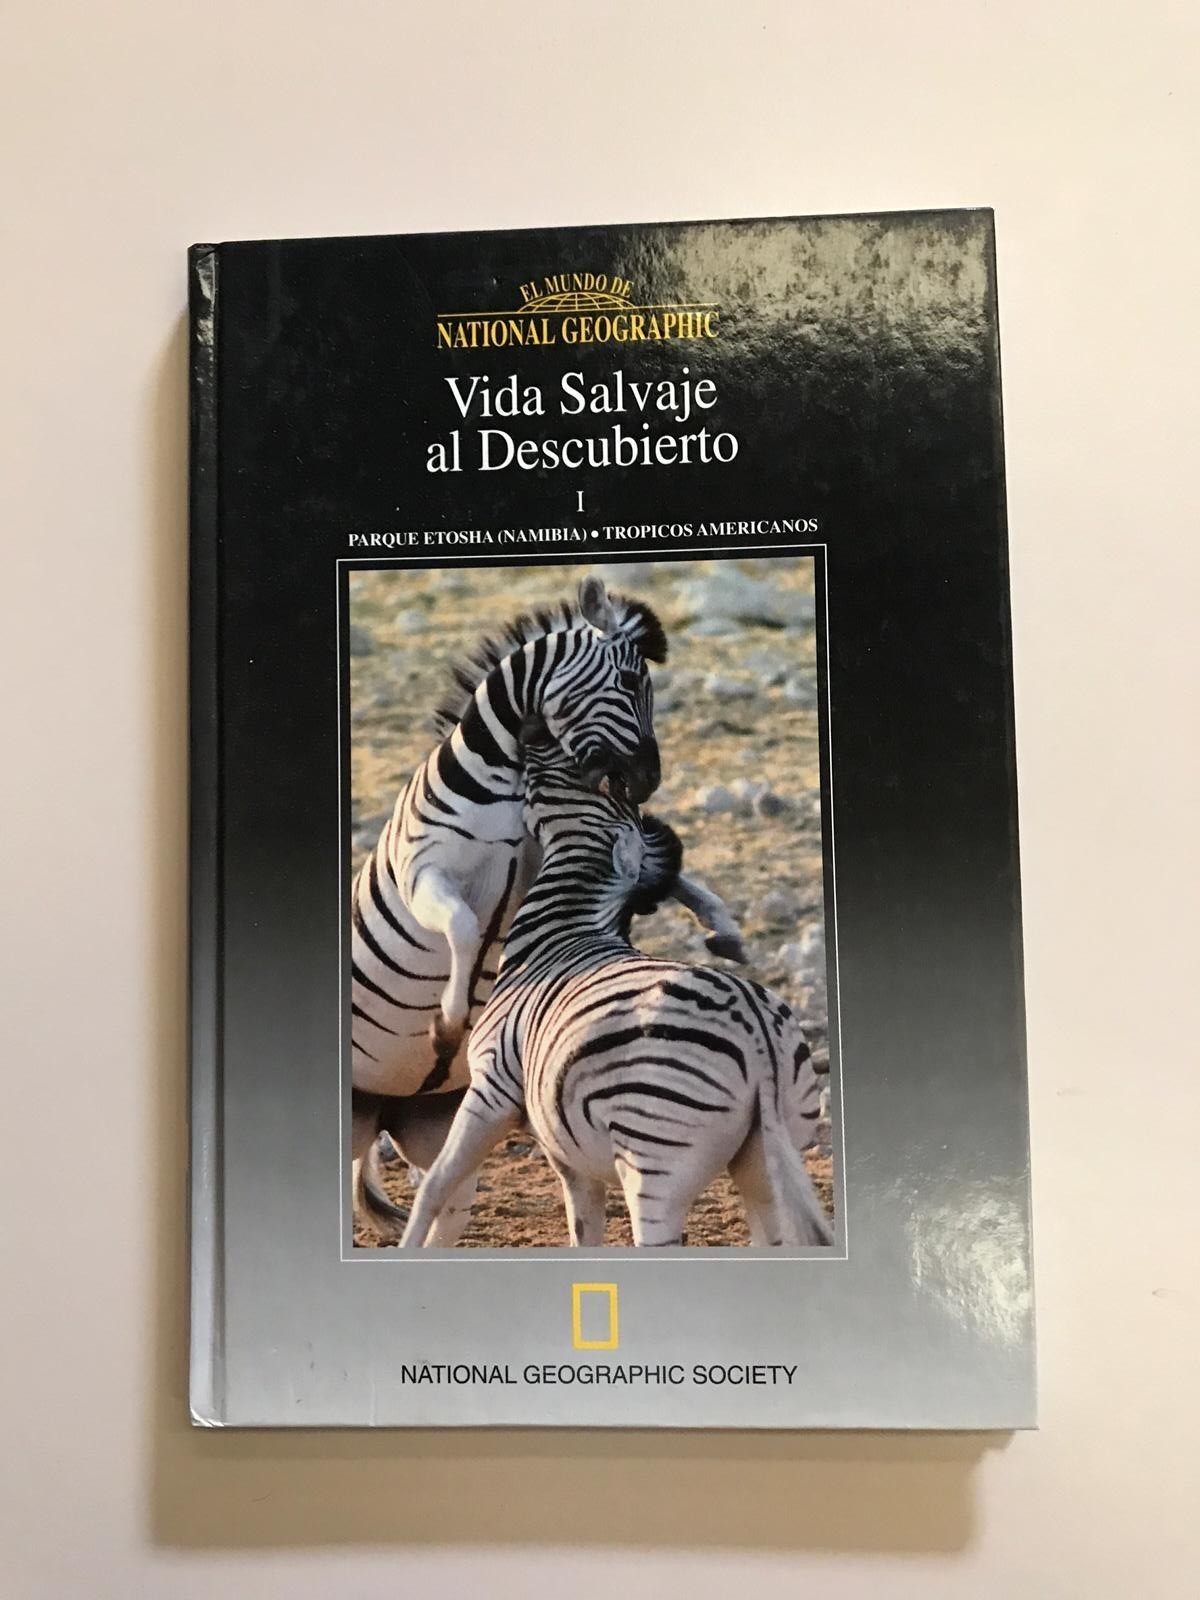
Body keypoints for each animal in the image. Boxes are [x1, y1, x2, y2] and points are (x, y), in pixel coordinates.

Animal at [351, 576, 746, 1241]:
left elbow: (656, 868)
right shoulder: (423, 873)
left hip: (434, 1122)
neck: (506, 785)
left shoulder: (546, 851)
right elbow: (463, 925)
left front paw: (722, 926)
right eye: (631, 683)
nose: (649, 782)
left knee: (446, 1202)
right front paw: (449, 1018)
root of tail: (380, 1110)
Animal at [400, 735, 832, 1250]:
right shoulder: (568, 1156)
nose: (533, 734)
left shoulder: (492, 1086)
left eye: (590, 786)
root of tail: (758, 1034)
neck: (563, 929)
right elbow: (583, 1230)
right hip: (766, 1159)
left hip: (655, 1161)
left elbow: (436, 1185)